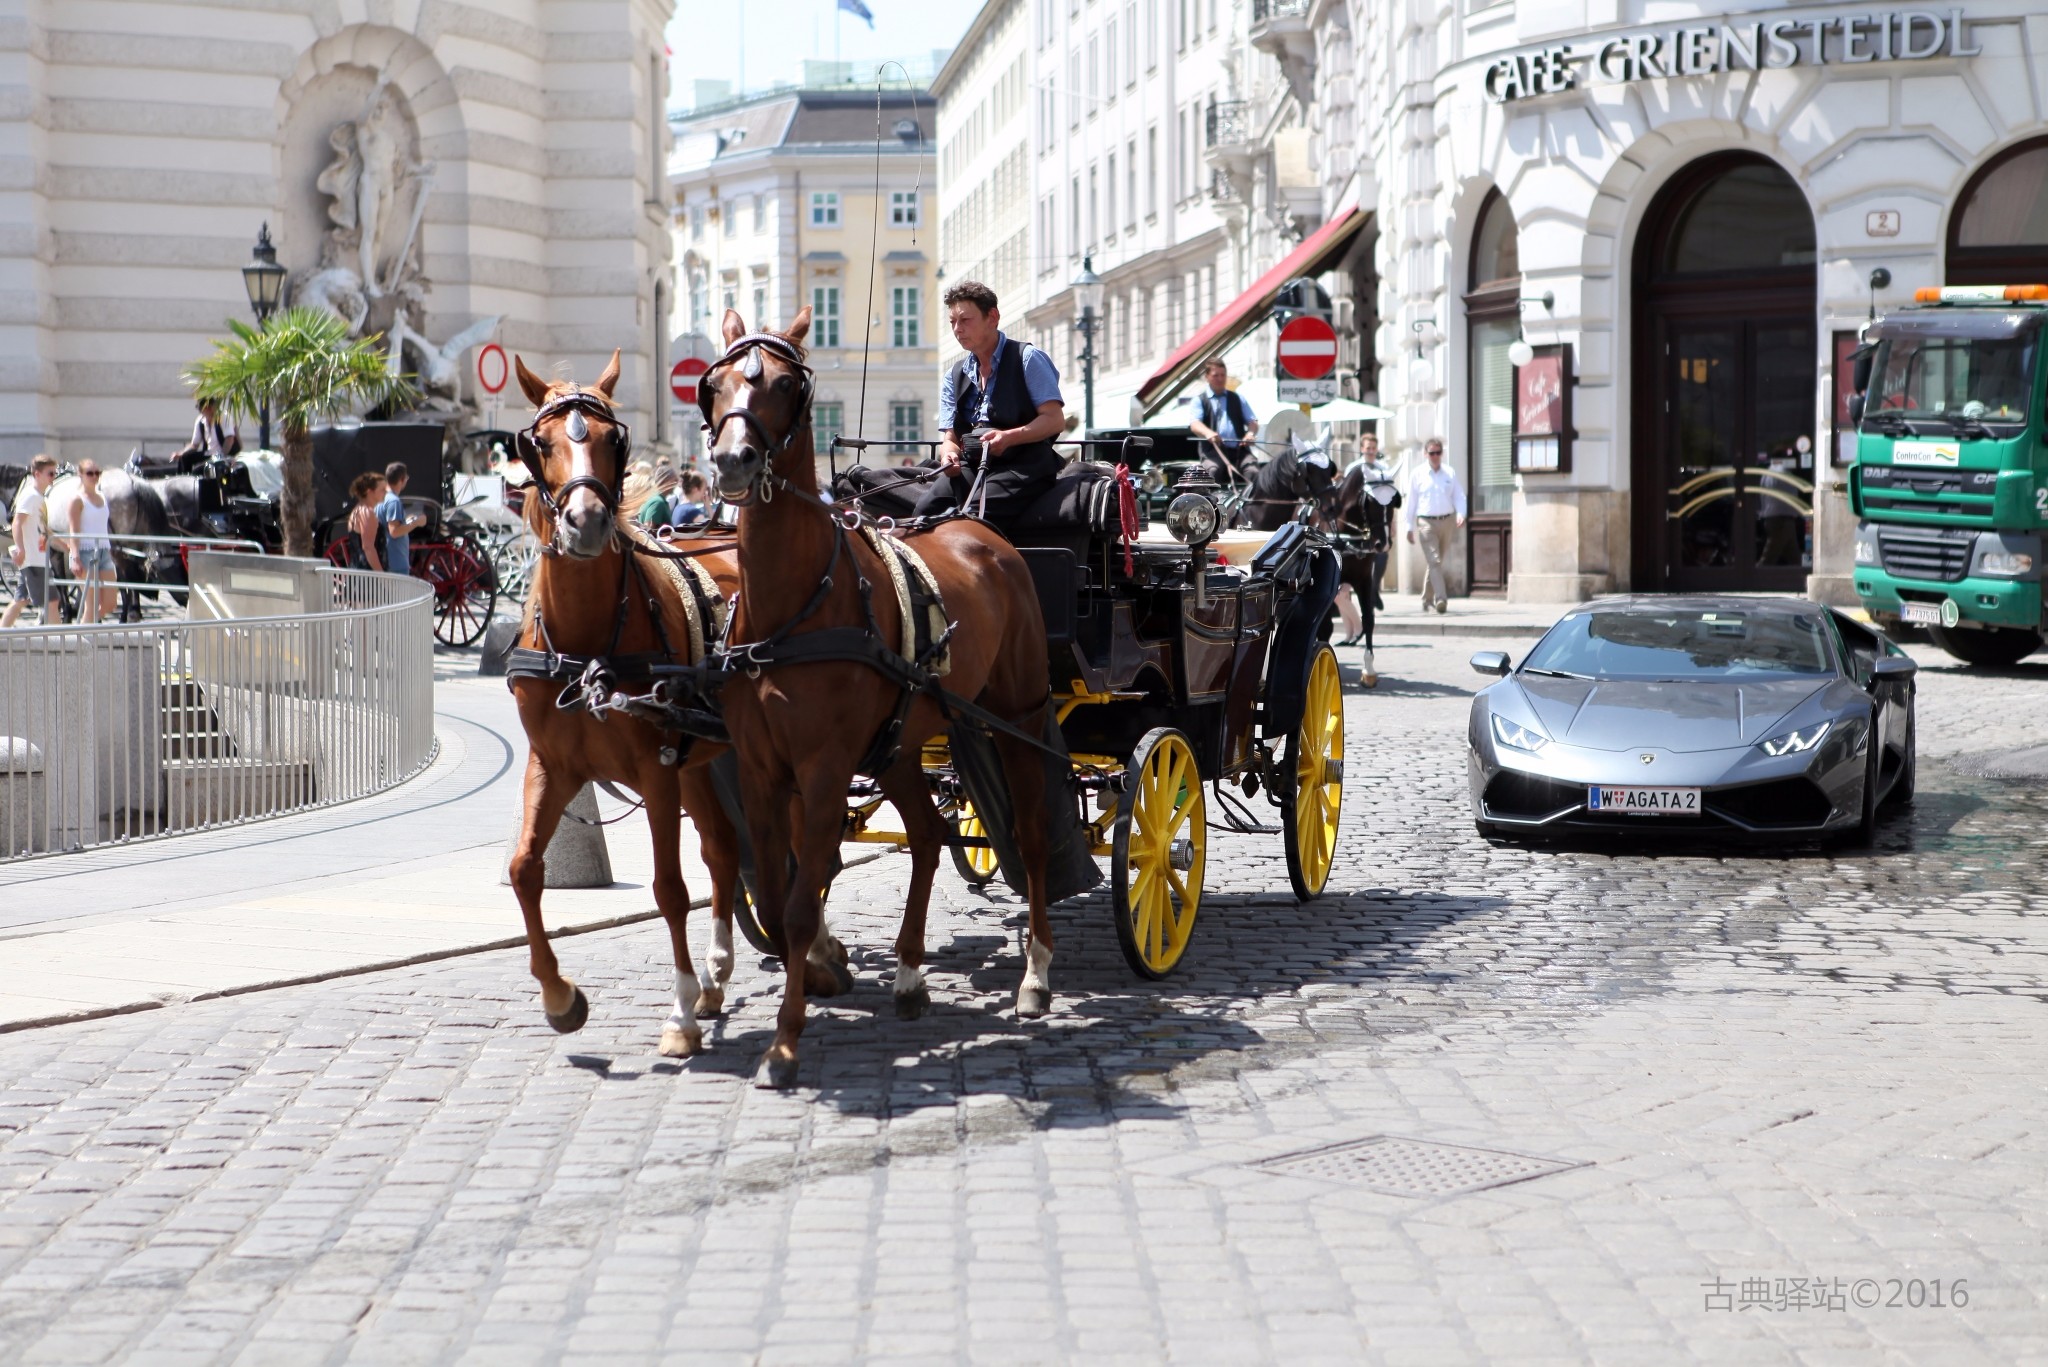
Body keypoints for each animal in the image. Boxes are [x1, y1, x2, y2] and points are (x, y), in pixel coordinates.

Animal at [700, 307, 1056, 1090]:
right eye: (715, 382)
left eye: (784, 383)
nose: (734, 461)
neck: (792, 606)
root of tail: (980, 525)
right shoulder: (761, 772)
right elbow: (779, 894)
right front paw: (822, 978)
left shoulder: (825, 769)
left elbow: (800, 905)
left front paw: (786, 1042)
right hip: (898, 744)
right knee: (926, 836)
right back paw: (911, 975)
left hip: (1015, 719)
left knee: (1032, 837)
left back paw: (1036, 973)